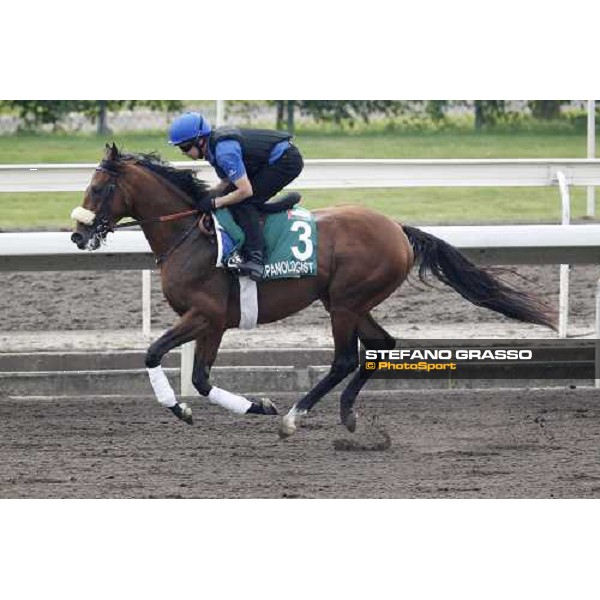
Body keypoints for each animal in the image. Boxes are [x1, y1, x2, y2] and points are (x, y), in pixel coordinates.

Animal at [72, 143, 556, 438]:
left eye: (97, 187)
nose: (78, 235)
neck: (191, 234)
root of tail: (396, 227)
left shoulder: (204, 314)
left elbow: (154, 354)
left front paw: (184, 408)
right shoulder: (215, 322)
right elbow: (201, 379)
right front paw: (251, 406)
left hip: (344, 302)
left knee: (345, 358)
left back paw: (294, 417)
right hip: (349, 301)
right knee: (380, 345)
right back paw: (346, 413)